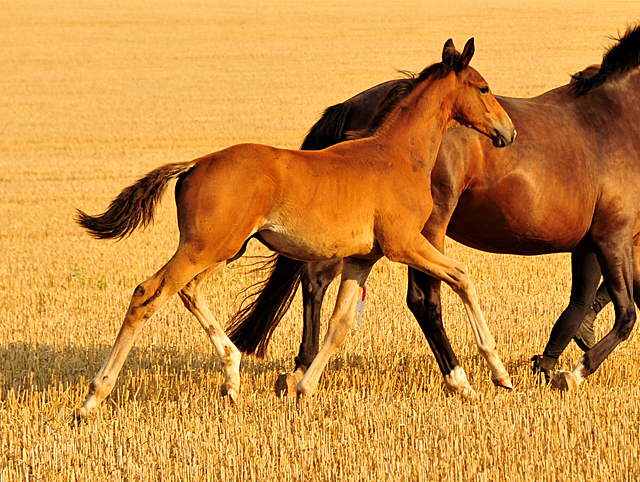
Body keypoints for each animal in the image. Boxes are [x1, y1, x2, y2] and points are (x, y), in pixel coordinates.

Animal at [74, 38, 516, 418]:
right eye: (483, 87)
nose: (508, 131)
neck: (395, 156)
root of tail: (195, 164)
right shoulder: (403, 243)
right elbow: (462, 278)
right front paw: (498, 373)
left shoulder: (362, 258)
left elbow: (340, 323)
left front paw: (303, 388)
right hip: (204, 247)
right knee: (148, 294)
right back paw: (93, 398)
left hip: (223, 248)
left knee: (189, 290)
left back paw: (232, 378)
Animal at [230, 24, 640, 396]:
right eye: (483, 88)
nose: (509, 133)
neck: (618, 120)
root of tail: (353, 105)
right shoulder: (612, 237)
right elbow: (626, 313)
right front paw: (571, 372)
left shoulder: (608, 242)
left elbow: (609, 300)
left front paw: (557, 358)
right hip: (426, 226)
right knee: (422, 299)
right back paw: (458, 378)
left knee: (316, 280)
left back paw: (301, 369)